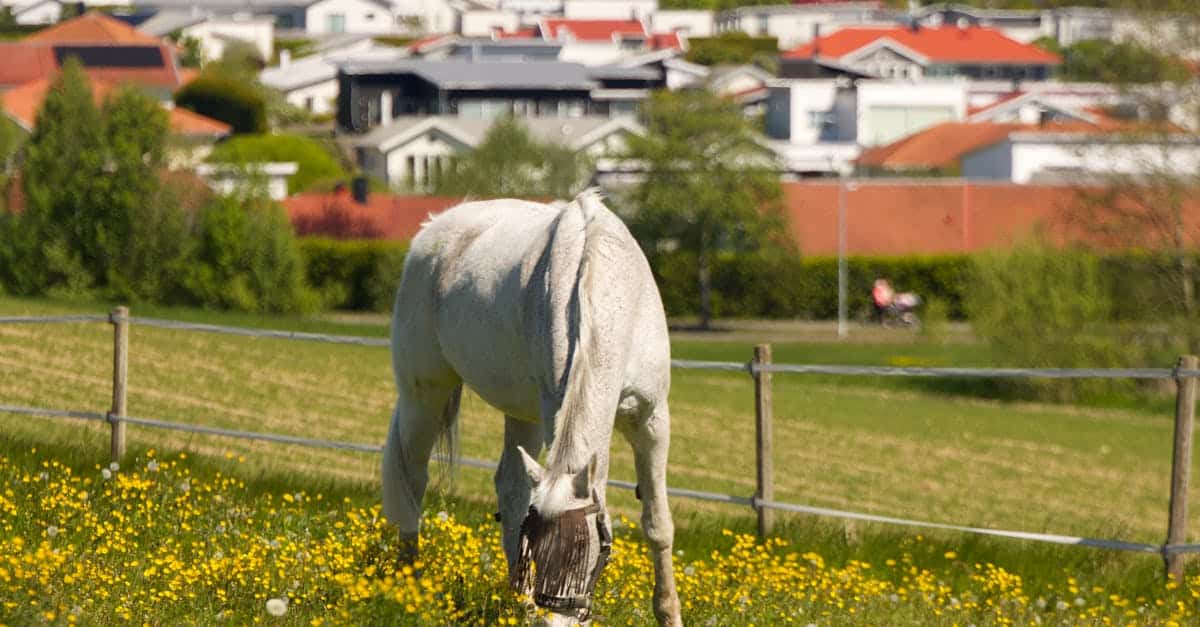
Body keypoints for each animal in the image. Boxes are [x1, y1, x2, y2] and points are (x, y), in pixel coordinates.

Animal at [381, 189, 682, 626]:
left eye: (587, 551)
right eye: (540, 551)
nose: (553, 618)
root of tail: (431, 230)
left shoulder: (651, 419)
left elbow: (658, 525)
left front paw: (669, 614)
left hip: (522, 416)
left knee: (510, 488)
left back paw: (516, 600)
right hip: (423, 395)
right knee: (412, 481)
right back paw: (411, 584)